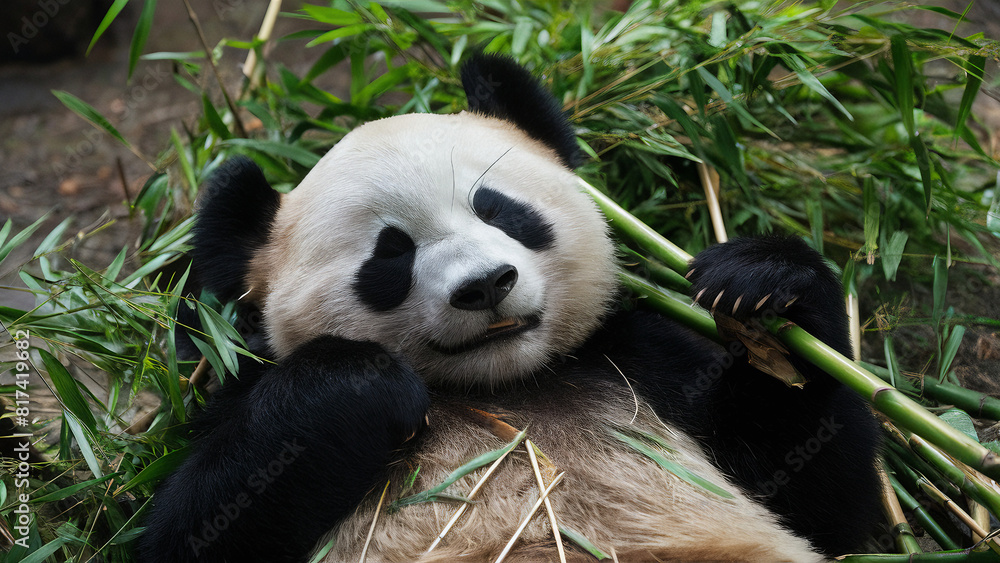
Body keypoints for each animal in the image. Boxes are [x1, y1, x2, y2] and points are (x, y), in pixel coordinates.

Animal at [137, 54, 881, 563]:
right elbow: (191, 527)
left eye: (498, 210)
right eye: (390, 254)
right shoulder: (234, 393)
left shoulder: (637, 360)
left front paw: (765, 281)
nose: (485, 284)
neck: (506, 390)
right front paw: (357, 379)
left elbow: (827, 509)